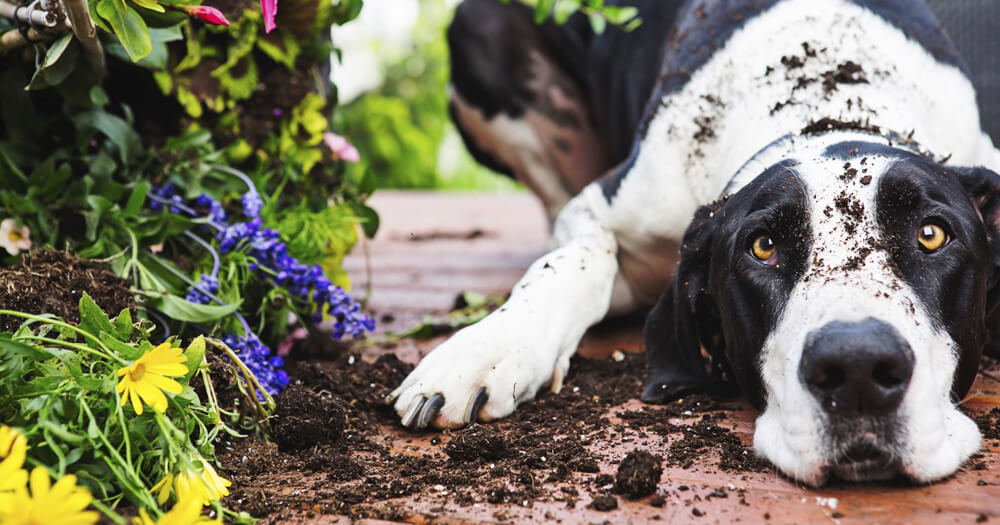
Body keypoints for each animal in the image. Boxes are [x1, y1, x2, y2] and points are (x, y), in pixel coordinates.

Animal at [384, 0, 1000, 486]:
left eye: (931, 234)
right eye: (762, 247)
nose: (857, 370)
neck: (830, 102)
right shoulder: (604, 207)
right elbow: (573, 261)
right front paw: (487, 348)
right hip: (481, 32)